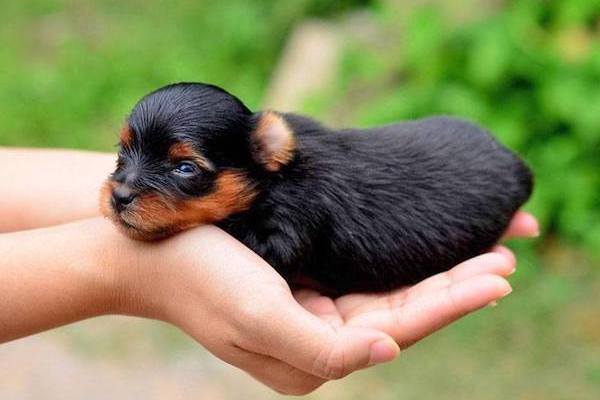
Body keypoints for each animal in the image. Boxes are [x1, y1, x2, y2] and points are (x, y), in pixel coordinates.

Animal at [99, 82, 536, 294]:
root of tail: (518, 164)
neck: (272, 179)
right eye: (122, 151)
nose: (118, 197)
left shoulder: (293, 224)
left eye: (185, 168)